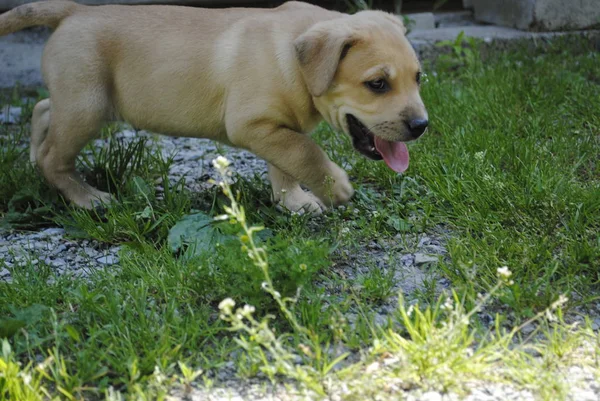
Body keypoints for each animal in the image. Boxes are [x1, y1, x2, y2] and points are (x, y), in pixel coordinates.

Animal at [0, 0, 426, 212]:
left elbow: (286, 164)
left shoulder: (275, 127)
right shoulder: (255, 125)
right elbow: (306, 152)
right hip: (87, 105)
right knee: (55, 156)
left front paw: (293, 201)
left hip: (77, 99)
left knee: (44, 110)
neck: (295, 62)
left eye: (419, 78)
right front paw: (334, 186)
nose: (422, 126)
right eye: (377, 84)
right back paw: (87, 198)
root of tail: (75, 10)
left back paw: (37, 153)